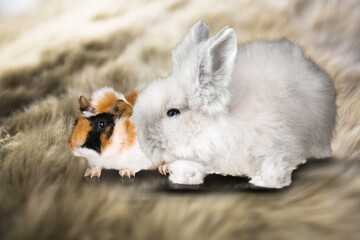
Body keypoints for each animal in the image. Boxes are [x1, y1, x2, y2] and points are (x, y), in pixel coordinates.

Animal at [133, 21, 338, 188]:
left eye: (173, 112)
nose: (144, 142)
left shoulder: (277, 144)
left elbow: (274, 166)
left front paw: (265, 182)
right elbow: (188, 166)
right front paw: (184, 178)